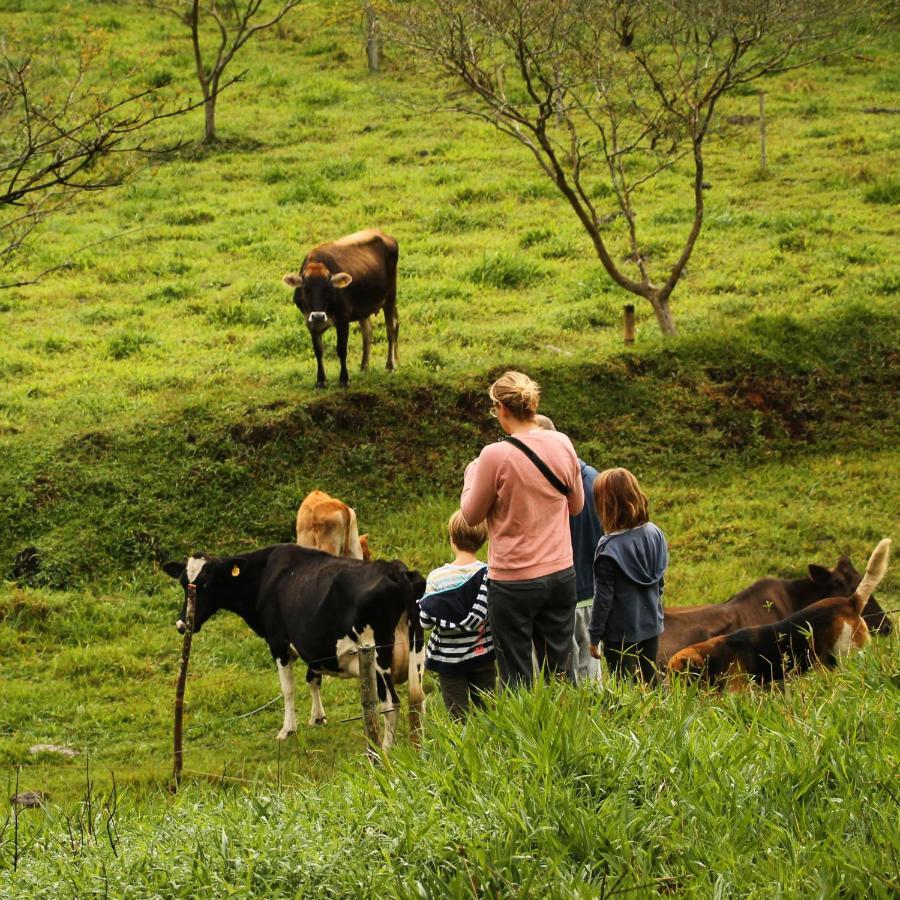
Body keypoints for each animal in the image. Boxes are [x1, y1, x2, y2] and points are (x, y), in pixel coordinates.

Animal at [163, 544, 428, 748]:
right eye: (184, 584)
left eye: (206, 585)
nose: (182, 624)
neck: (265, 576)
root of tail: (394, 569)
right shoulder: (312, 643)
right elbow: (313, 678)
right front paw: (318, 717)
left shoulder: (278, 643)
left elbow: (288, 689)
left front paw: (288, 729)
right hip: (416, 651)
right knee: (418, 699)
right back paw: (421, 745)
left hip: (378, 658)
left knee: (390, 703)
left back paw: (385, 749)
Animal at [280, 229, 396, 386]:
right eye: (305, 288)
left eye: (329, 288)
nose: (318, 316)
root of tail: (384, 235)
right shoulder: (309, 321)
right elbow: (318, 351)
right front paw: (320, 380)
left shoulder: (343, 319)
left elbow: (341, 349)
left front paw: (344, 379)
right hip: (363, 308)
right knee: (367, 332)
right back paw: (364, 367)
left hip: (390, 296)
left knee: (391, 330)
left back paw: (390, 366)